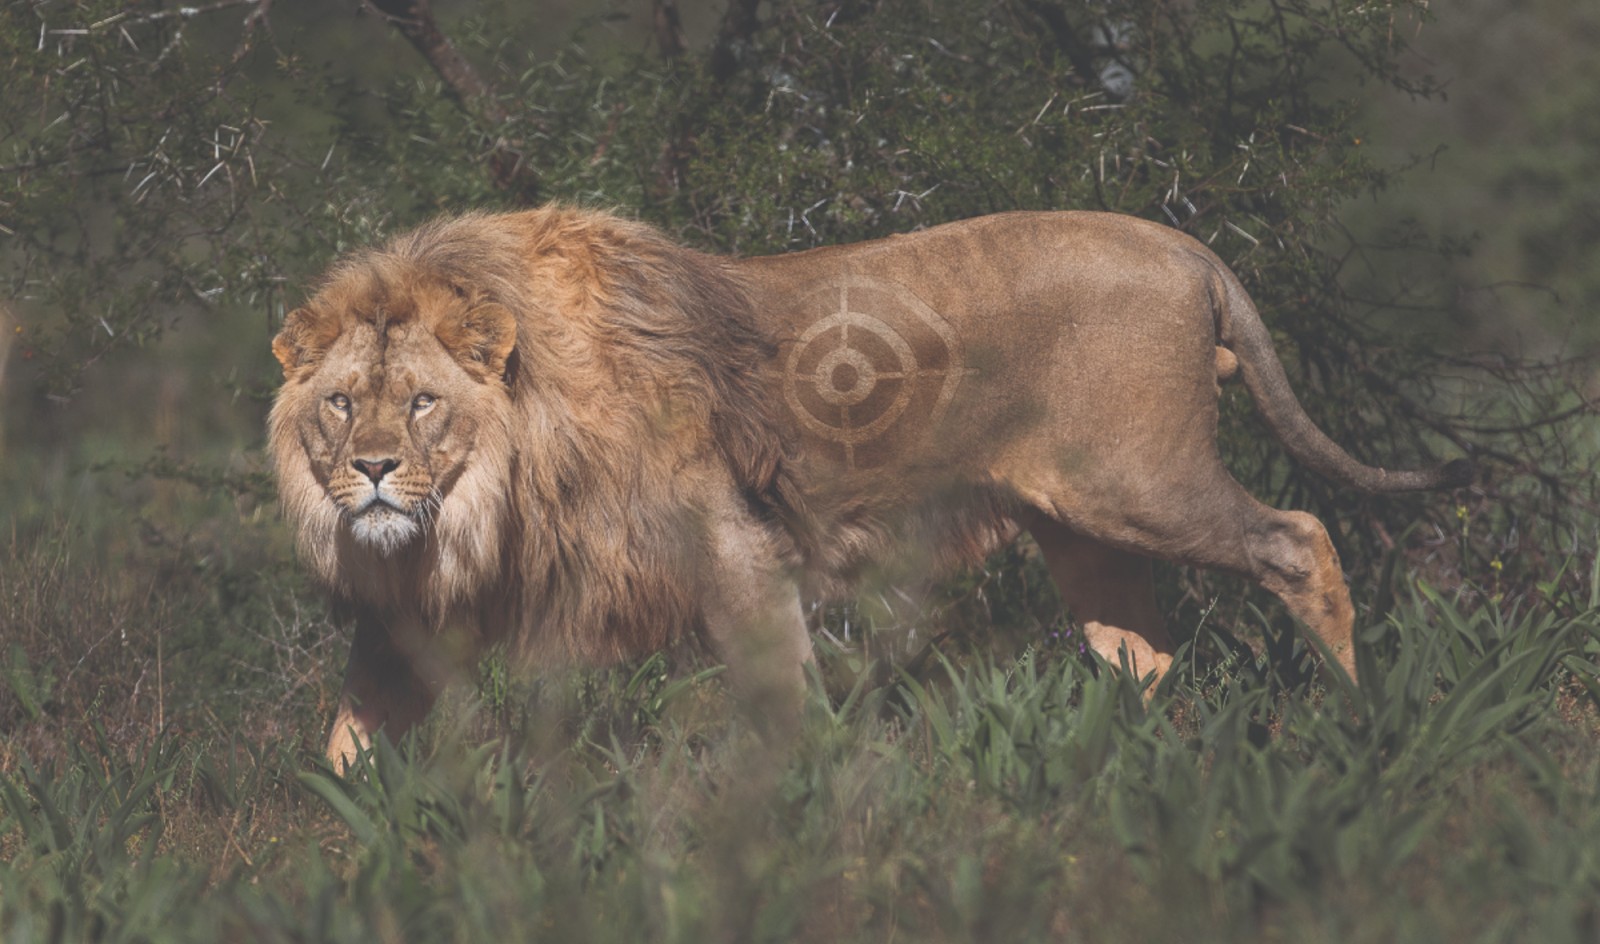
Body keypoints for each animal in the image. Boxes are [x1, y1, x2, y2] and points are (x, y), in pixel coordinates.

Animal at [265, 208, 1472, 768]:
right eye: (342, 404)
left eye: (423, 403)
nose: (371, 473)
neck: (483, 503)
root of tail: (1184, 244)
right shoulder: (406, 612)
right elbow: (350, 733)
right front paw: (350, 849)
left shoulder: (735, 547)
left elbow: (781, 694)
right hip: (1080, 526)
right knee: (1141, 650)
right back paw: (1123, 758)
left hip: (1143, 483)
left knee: (1299, 538)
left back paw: (1364, 717)